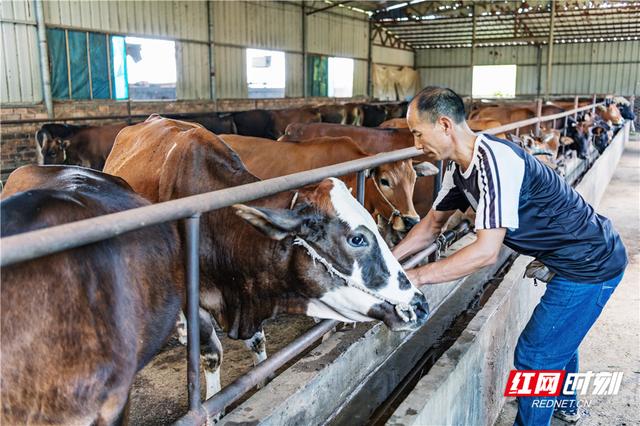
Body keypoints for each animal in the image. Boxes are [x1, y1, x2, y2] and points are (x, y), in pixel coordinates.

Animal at [104, 117, 430, 402]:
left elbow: (259, 343)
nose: (420, 304)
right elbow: (211, 355)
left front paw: (263, 380)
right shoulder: (197, 298)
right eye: (356, 239)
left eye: (415, 178)